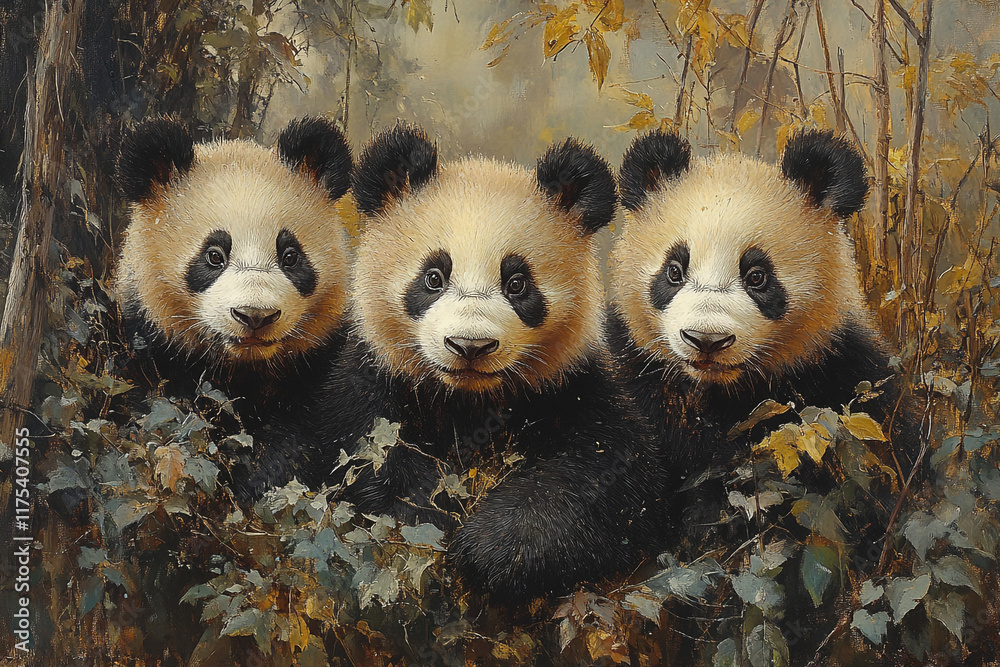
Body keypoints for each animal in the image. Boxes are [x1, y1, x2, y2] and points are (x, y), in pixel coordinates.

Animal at [115, 116, 354, 499]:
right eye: (214, 256)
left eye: (290, 256)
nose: (255, 316)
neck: (242, 369)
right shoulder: (152, 342)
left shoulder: (319, 361)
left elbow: (305, 436)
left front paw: (262, 480)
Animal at [316, 124, 663, 603]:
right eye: (433, 277)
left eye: (517, 283)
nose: (469, 345)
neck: (469, 402)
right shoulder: (370, 379)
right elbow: (368, 460)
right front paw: (431, 519)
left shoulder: (573, 384)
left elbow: (604, 474)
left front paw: (492, 549)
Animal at [608, 129, 916, 527]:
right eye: (674, 271)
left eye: (757, 276)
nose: (706, 340)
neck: (722, 393)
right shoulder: (632, 371)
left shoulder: (844, 376)